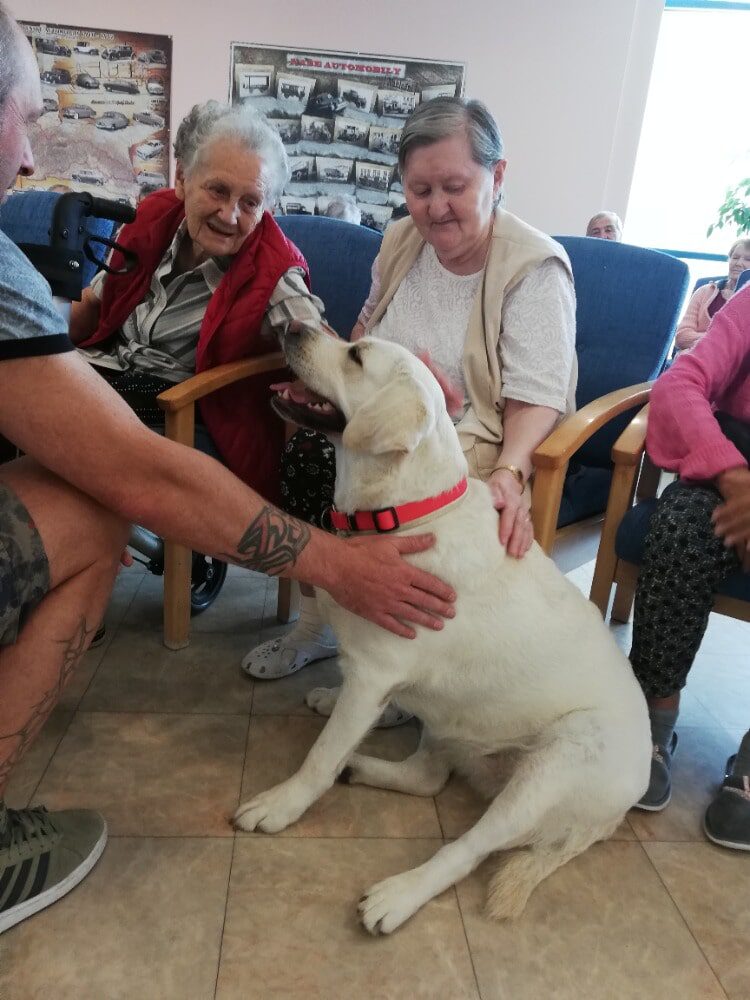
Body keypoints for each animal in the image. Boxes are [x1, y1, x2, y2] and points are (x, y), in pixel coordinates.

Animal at [234, 324, 651, 935]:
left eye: (356, 355)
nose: (290, 326)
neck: (406, 513)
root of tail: (619, 810)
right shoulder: (372, 676)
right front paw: (333, 703)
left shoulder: (375, 673)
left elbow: (320, 755)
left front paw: (280, 804)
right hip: (455, 723)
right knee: (428, 776)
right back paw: (362, 767)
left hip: (552, 767)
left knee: (468, 849)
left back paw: (398, 894)